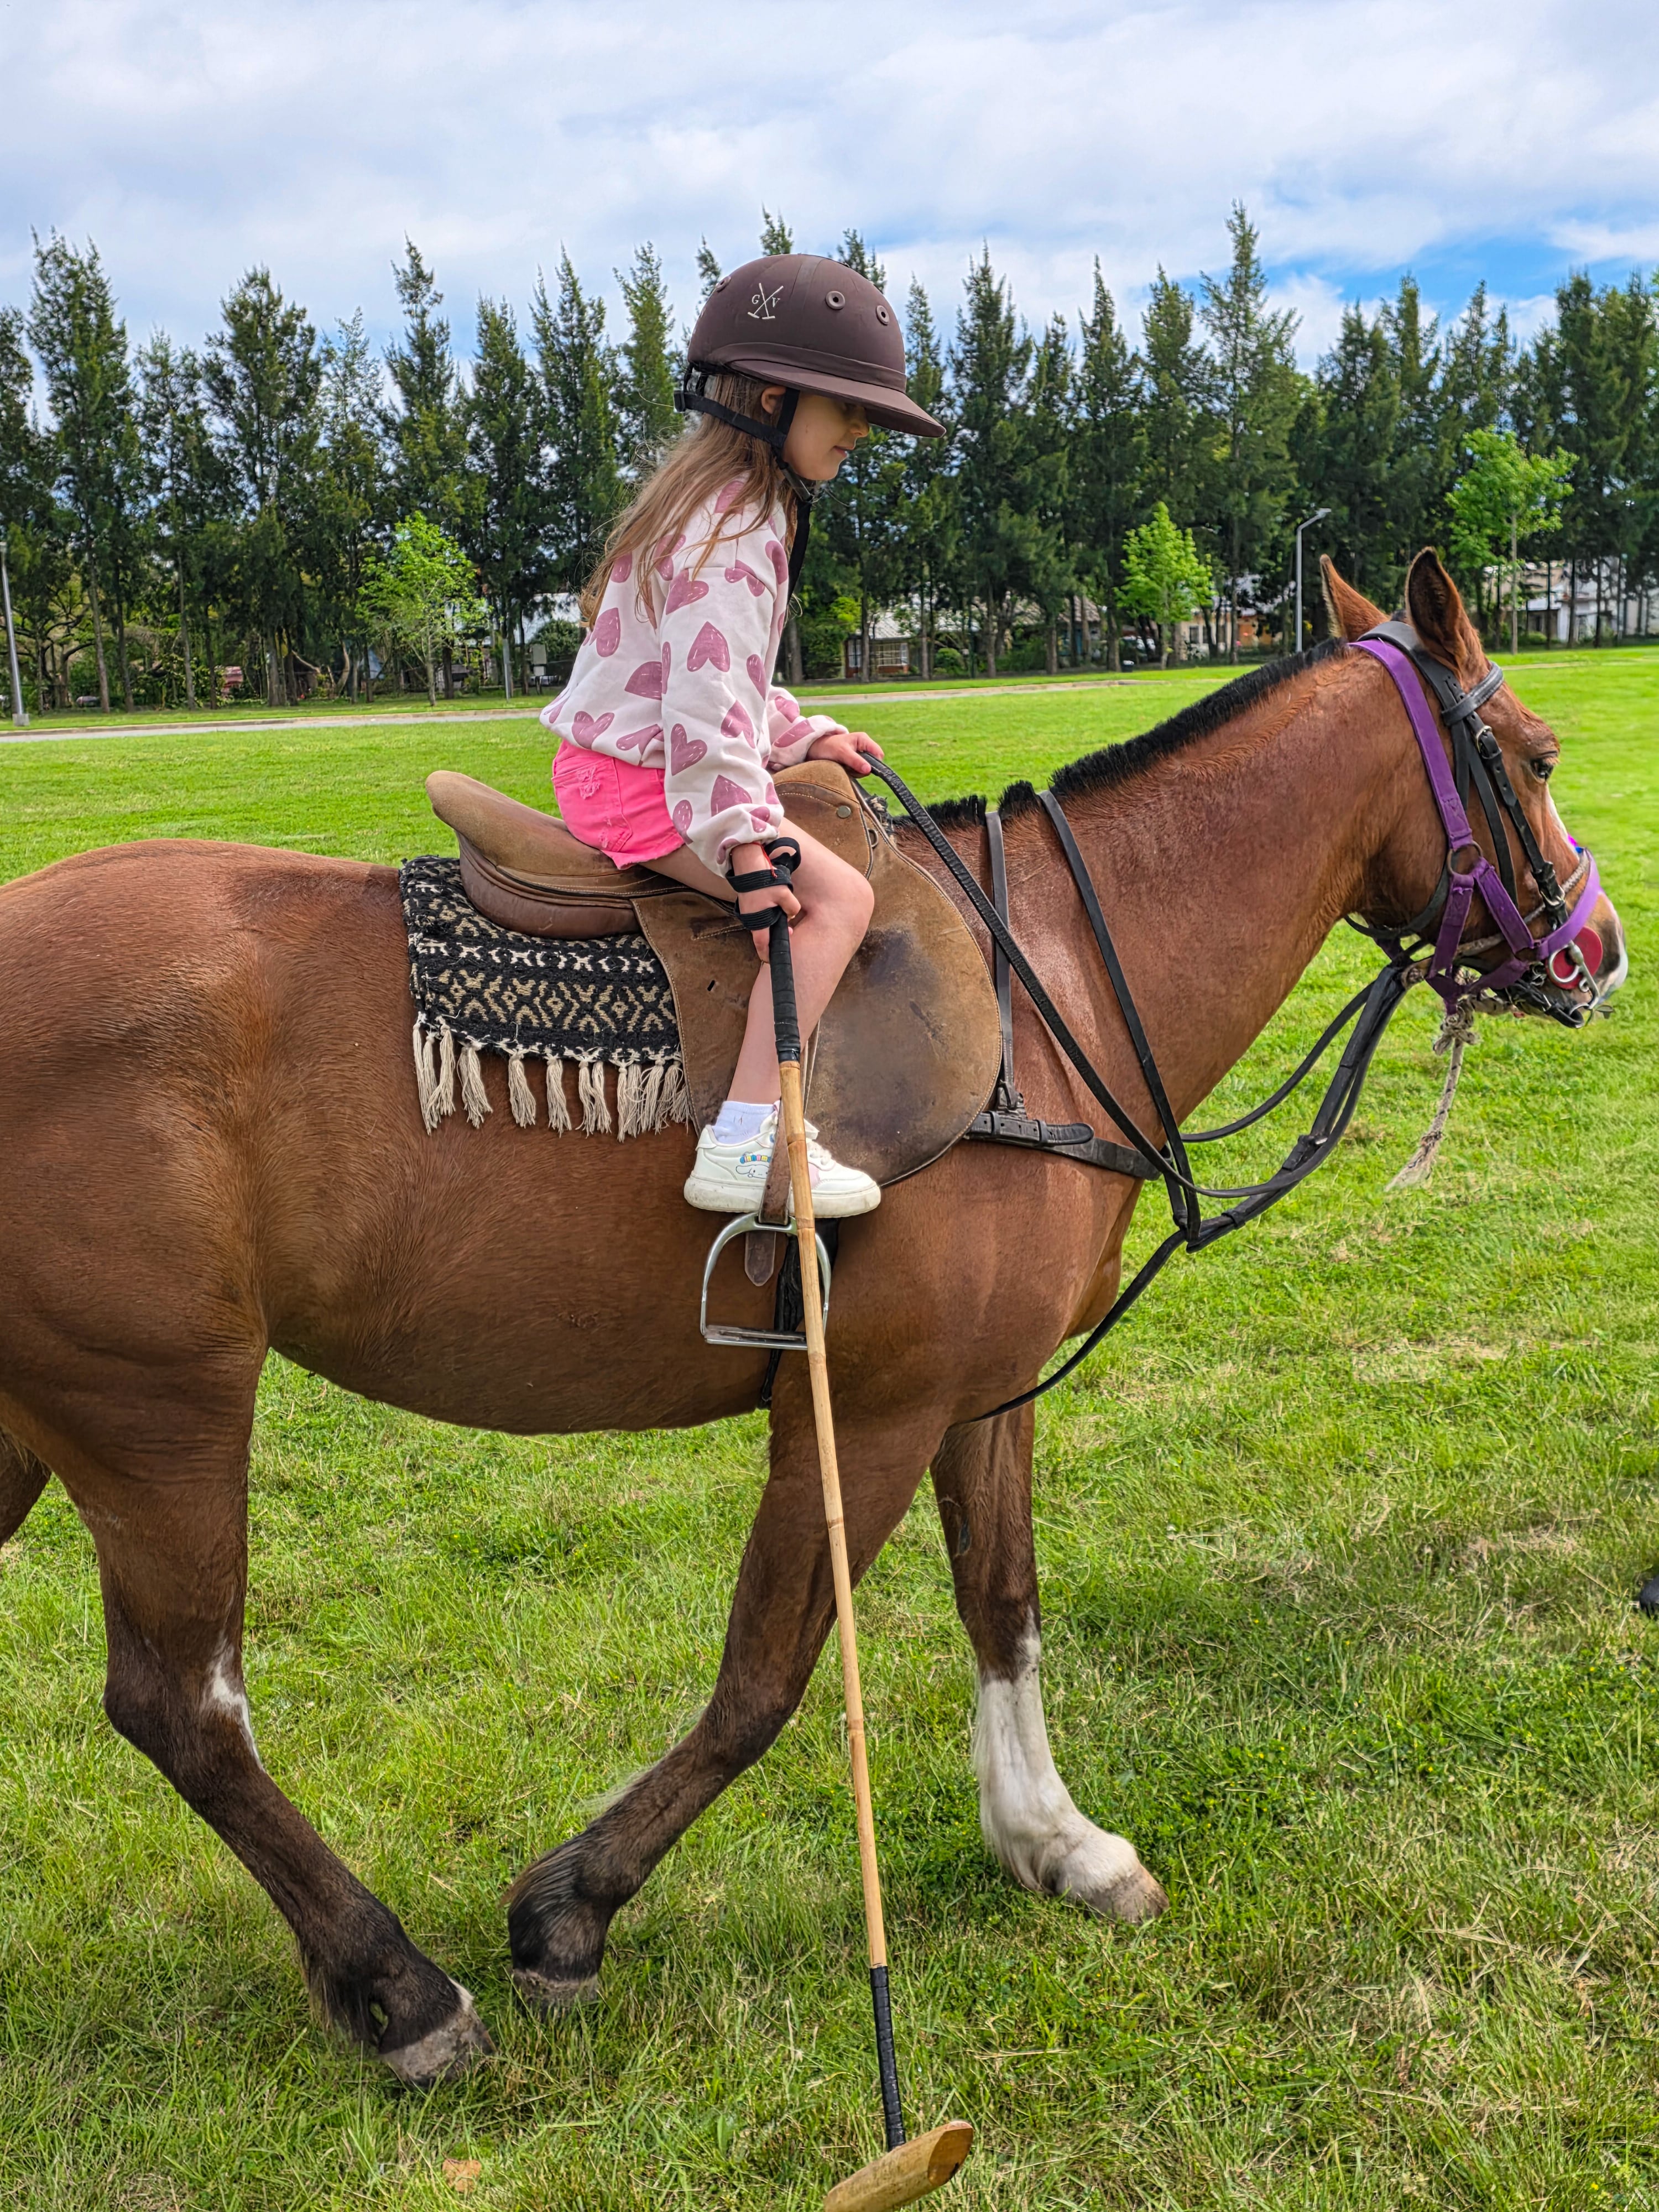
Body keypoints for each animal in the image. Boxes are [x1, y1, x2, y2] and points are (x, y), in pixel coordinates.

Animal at [0, 554, 1626, 2086]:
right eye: (1538, 756)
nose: (1597, 945)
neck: (1048, 988)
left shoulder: (982, 1394)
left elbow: (1003, 1602)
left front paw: (1053, 1837)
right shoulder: (869, 1405)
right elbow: (763, 1679)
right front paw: (568, 1911)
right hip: (158, 1407)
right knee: (185, 1709)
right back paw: (397, 1990)